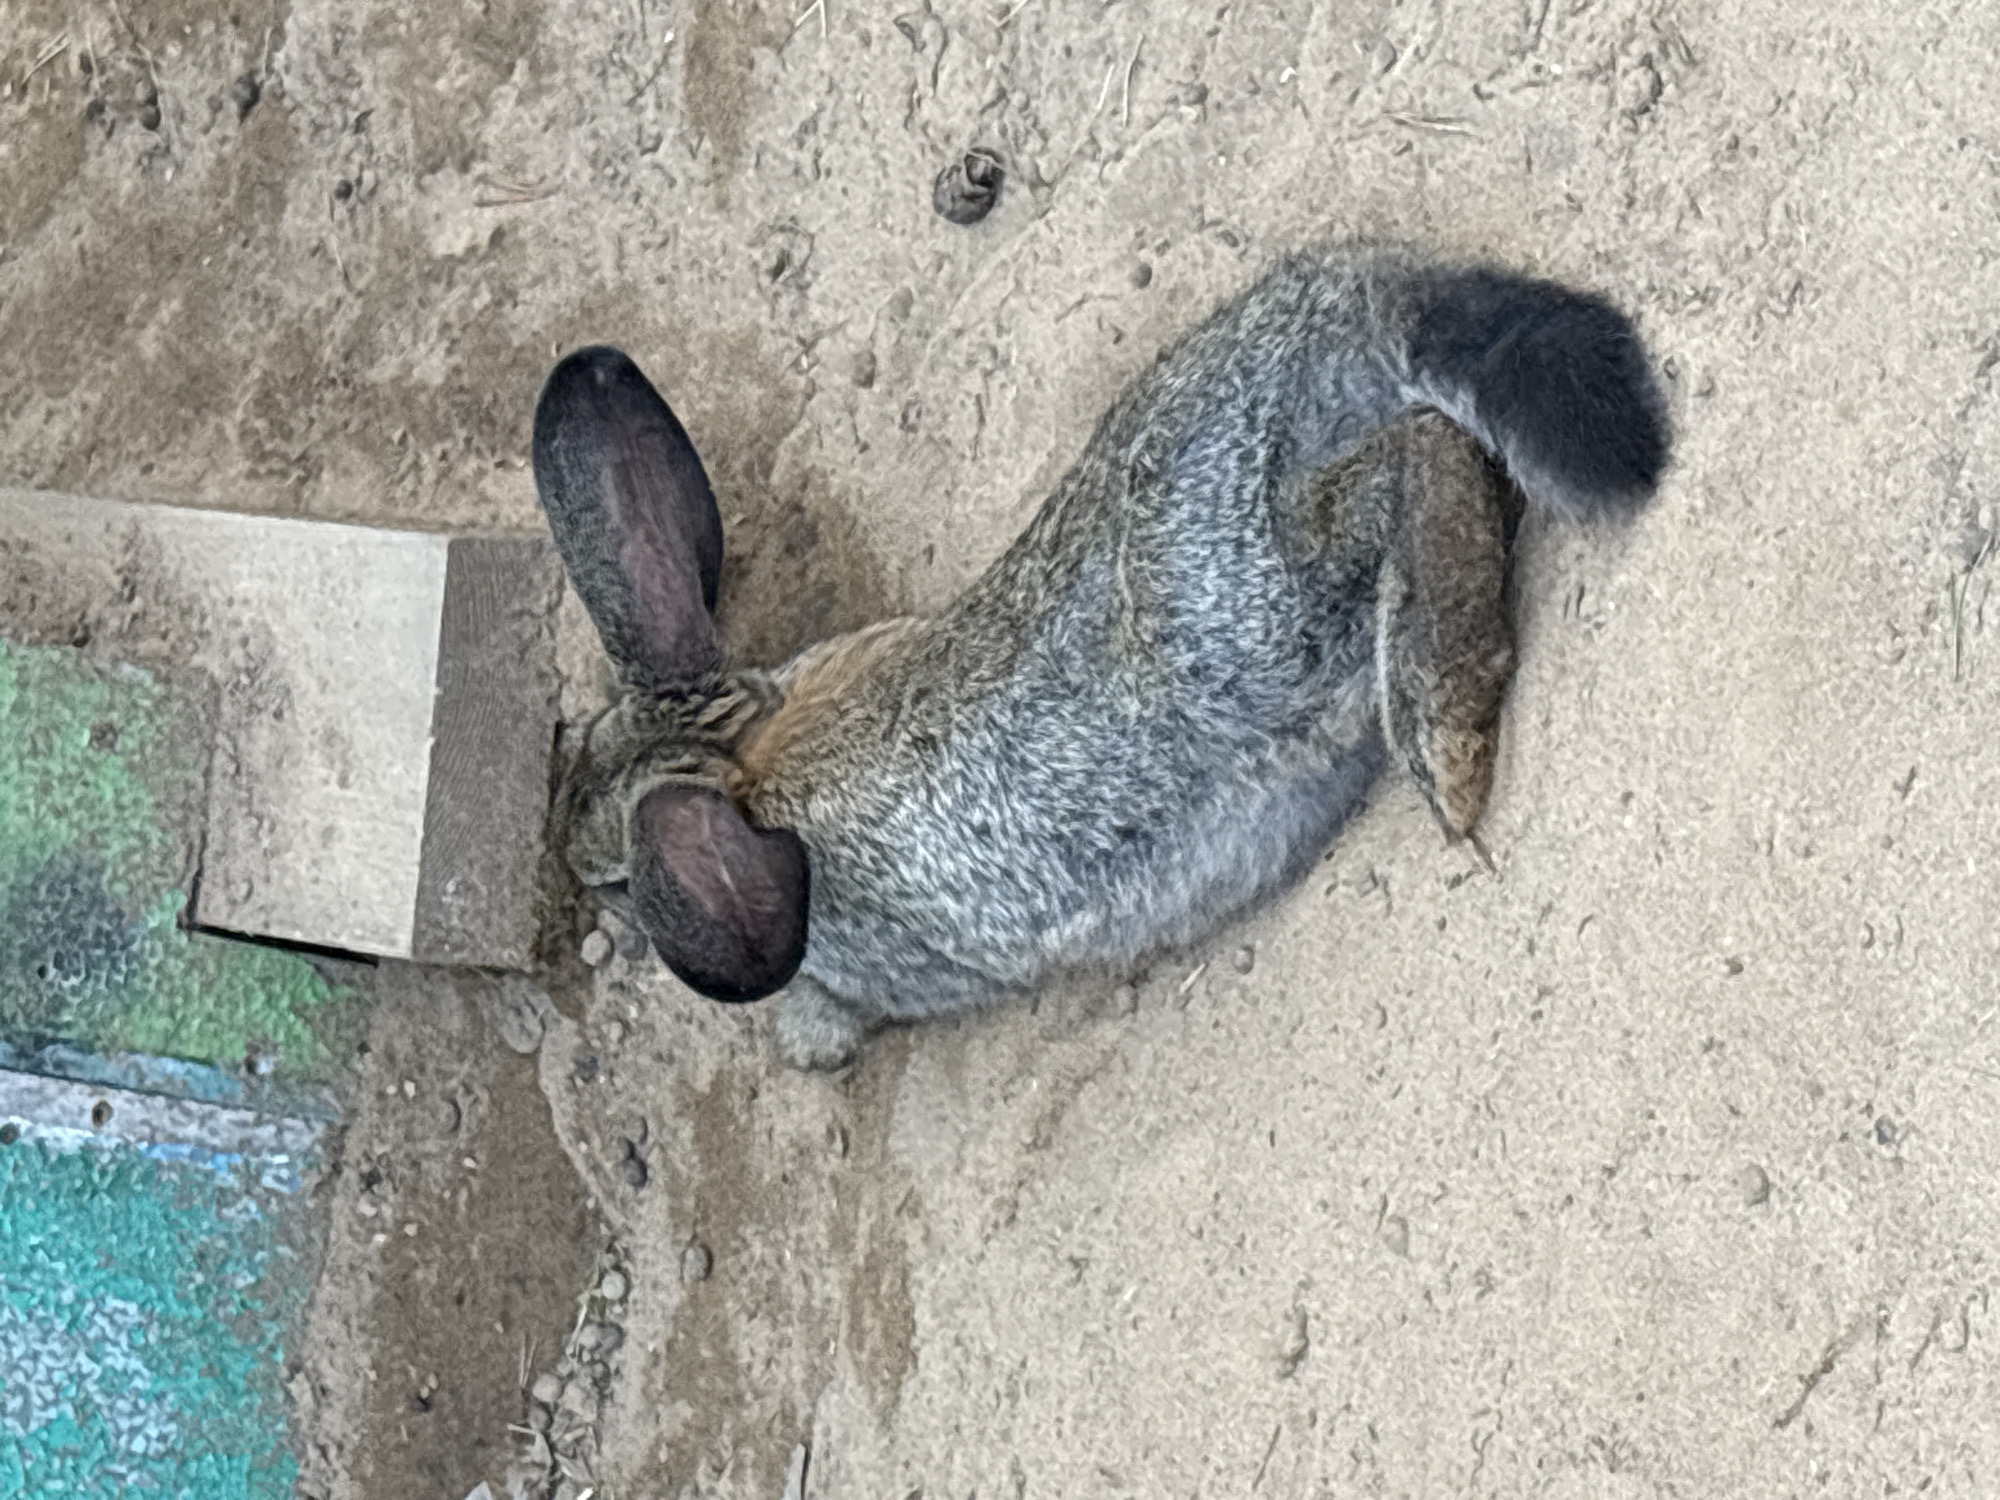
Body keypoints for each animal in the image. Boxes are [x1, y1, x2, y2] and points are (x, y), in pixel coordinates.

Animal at [531, 243, 1668, 1069]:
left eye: (619, 887)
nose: (577, 873)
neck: (740, 753)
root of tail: (1341, 317)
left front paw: (807, 1044)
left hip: (1246, 611)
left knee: (1415, 460)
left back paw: (1446, 750)